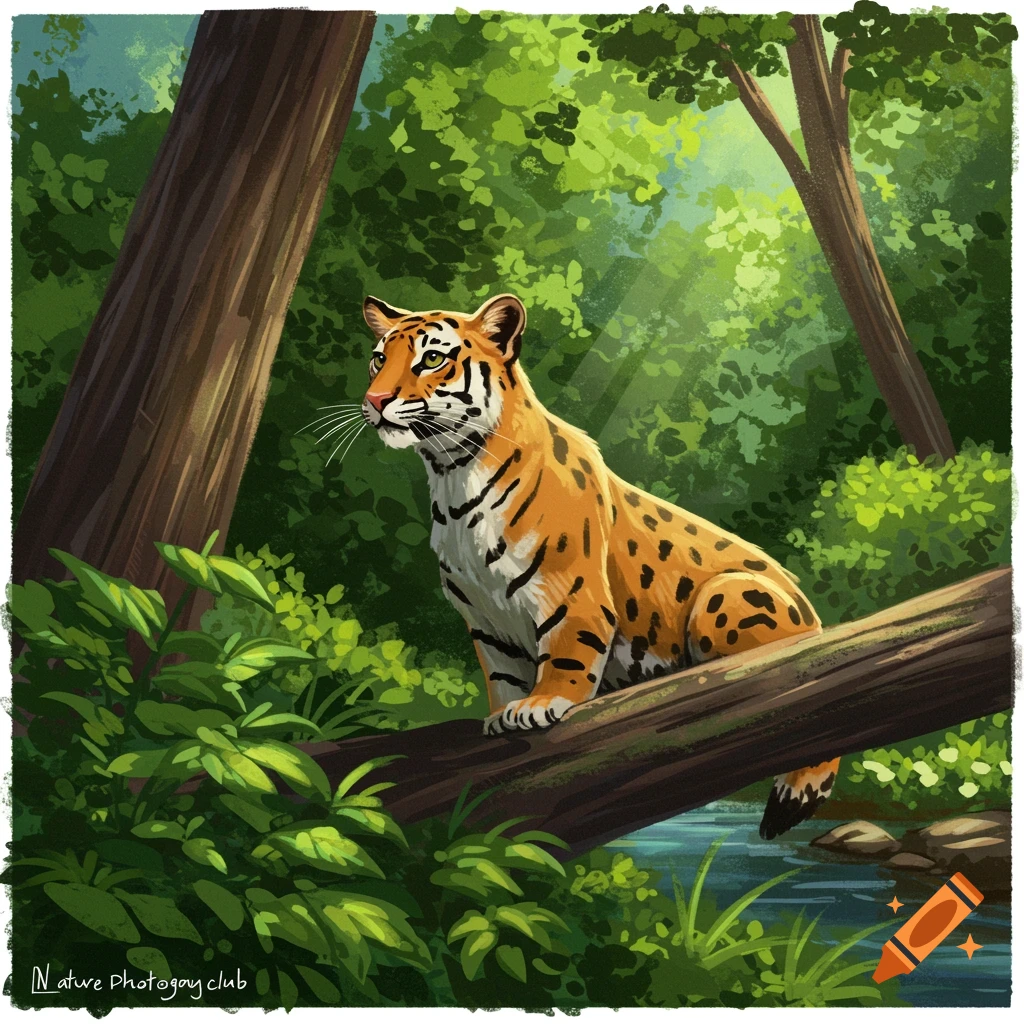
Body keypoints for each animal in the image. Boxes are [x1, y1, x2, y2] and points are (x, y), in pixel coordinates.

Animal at [359, 291, 838, 839]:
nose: (374, 400)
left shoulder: (569, 595)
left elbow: (565, 656)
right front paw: (501, 716)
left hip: (726, 594)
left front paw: (539, 706)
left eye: (432, 359)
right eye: (378, 359)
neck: (453, 478)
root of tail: (818, 621)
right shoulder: (485, 619)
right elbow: (501, 674)